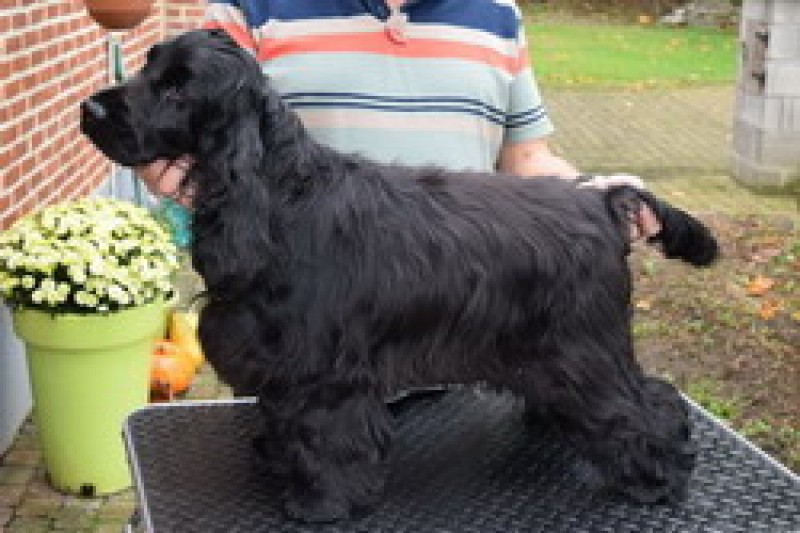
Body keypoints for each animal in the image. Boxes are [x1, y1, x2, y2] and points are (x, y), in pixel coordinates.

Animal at [81, 28, 720, 520]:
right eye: (148, 66)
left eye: (178, 86)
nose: (90, 109)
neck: (281, 196)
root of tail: (602, 201)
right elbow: (284, 419)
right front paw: (275, 456)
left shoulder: (326, 373)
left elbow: (328, 436)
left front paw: (322, 503)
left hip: (583, 347)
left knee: (643, 408)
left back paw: (658, 480)